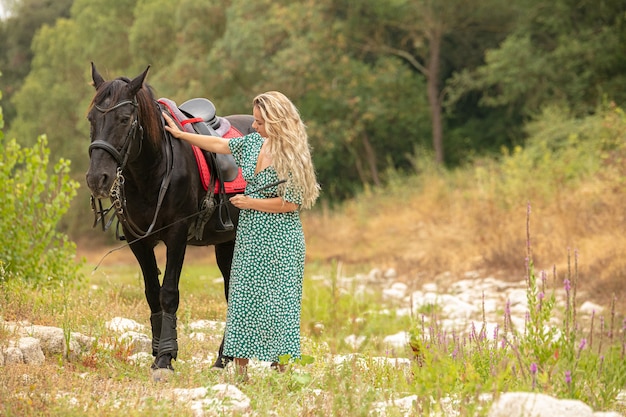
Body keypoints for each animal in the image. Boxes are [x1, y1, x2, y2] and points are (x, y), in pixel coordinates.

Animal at [84, 63, 252, 376]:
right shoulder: (138, 240)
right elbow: (152, 292)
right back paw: (222, 360)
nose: (97, 178)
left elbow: (169, 293)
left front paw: (165, 357)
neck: (152, 171)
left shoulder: (177, 234)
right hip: (227, 243)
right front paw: (156, 352)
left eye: (124, 119)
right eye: (91, 119)